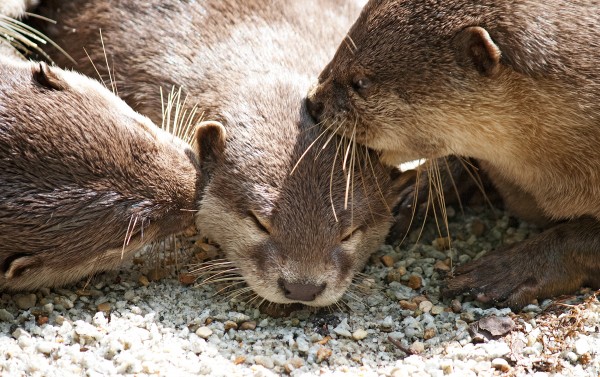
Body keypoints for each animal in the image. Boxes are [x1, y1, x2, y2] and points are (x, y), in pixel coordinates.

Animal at [304, 0, 600, 308]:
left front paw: (504, 271)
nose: (313, 102)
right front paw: (414, 192)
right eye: (339, 50)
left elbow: (576, 237)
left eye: (360, 81)